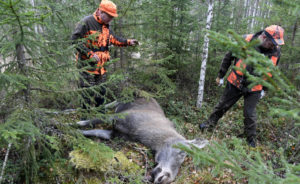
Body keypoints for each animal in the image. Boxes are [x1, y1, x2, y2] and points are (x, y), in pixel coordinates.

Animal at [77, 98, 209, 183]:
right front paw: (75, 122)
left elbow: (91, 132)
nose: (166, 179)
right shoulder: (117, 117)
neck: (141, 133)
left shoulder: (115, 134)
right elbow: (90, 121)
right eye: (182, 153)